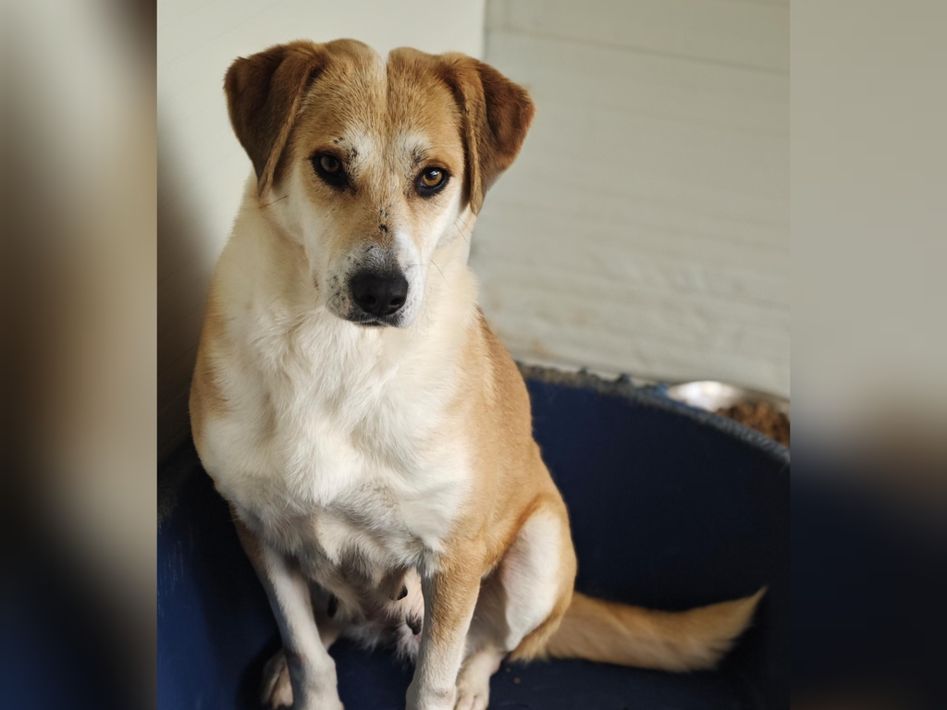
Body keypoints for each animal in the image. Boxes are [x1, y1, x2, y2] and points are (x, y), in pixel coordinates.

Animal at [189, 39, 763, 710]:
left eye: (433, 177)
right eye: (329, 164)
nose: (382, 293)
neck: (340, 355)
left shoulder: (455, 556)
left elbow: (431, 682)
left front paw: (447, 685)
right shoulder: (260, 531)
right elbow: (309, 651)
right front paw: (305, 685)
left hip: (540, 549)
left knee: (493, 645)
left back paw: (470, 685)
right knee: (337, 623)